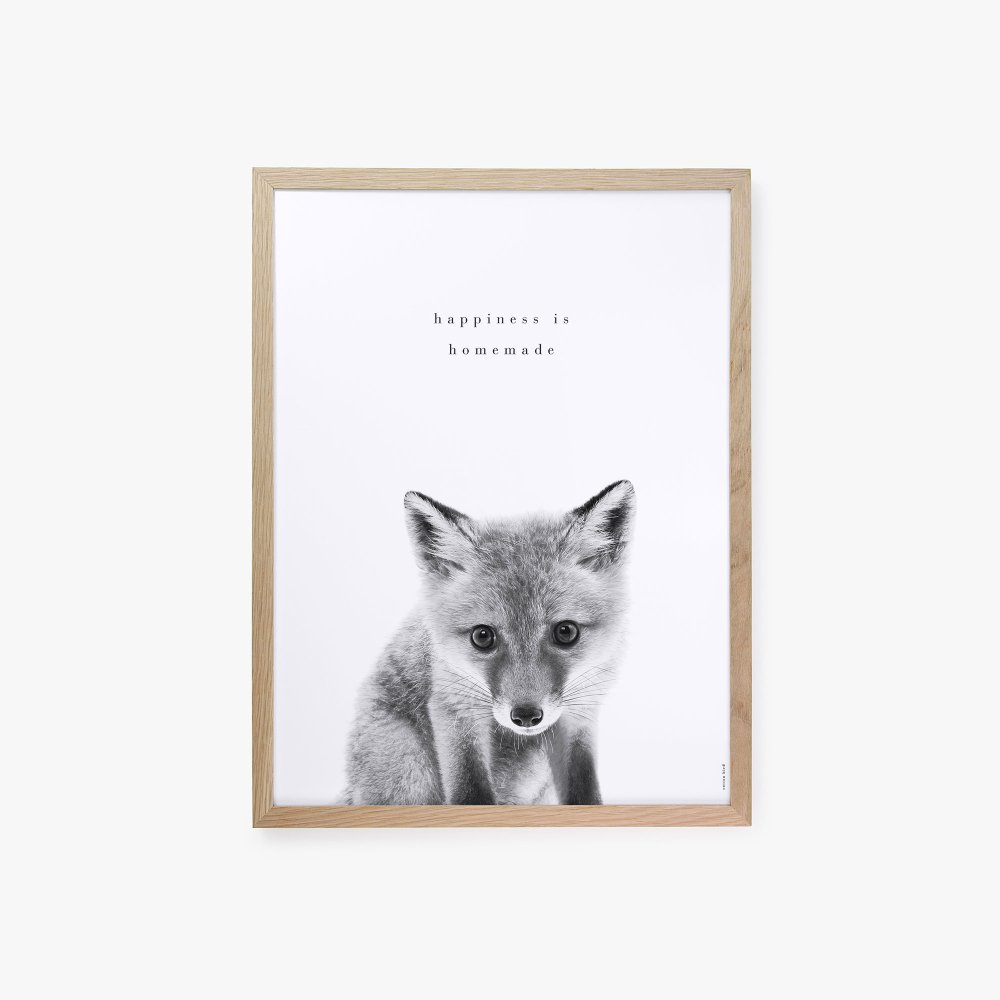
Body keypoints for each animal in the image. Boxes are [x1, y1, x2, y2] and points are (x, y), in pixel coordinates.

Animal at [343, 480, 635, 805]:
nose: (526, 716)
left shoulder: (580, 712)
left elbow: (584, 790)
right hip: (409, 773)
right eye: (482, 636)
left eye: (566, 632)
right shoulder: (454, 704)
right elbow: (470, 792)